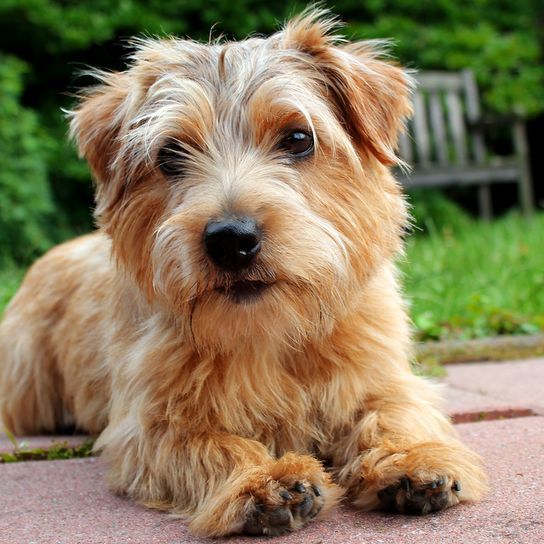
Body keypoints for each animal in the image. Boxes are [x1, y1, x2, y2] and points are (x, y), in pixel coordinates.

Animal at [0, 8, 484, 540]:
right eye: (170, 154)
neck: (269, 332)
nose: (230, 239)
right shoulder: (149, 424)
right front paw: (262, 480)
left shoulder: (381, 376)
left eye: (298, 138)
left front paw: (411, 459)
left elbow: (394, 412)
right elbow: (211, 443)